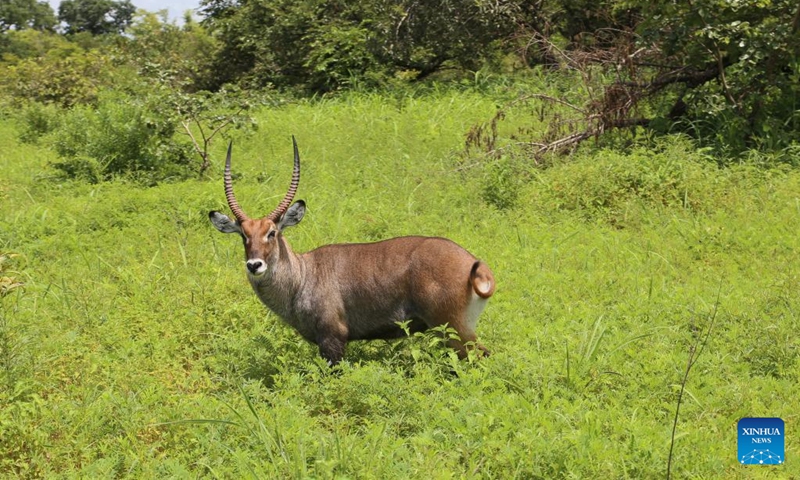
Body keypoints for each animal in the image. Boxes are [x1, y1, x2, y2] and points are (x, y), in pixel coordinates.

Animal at [209, 138, 495, 365]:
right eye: (243, 235)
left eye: (272, 232)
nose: (254, 265)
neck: (303, 275)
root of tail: (473, 263)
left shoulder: (333, 338)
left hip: (453, 329)